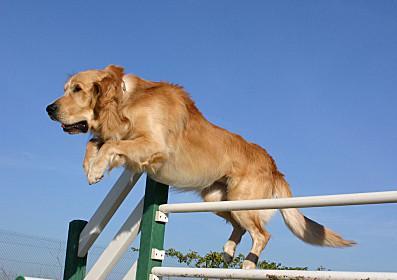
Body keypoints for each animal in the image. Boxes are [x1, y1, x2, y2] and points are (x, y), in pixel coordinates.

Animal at [45, 64, 352, 268]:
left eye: (77, 89)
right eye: (65, 89)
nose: (49, 109)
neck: (125, 101)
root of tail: (274, 165)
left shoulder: (153, 145)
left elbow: (109, 145)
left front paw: (96, 169)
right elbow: (95, 142)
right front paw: (90, 164)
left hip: (243, 201)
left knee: (262, 234)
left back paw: (248, 264)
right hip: (218, 200)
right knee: (240, 228)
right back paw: (228, 251)